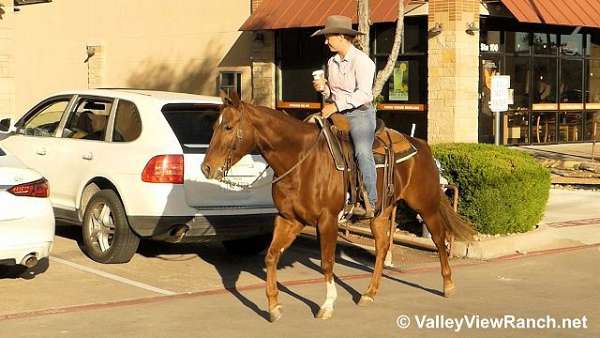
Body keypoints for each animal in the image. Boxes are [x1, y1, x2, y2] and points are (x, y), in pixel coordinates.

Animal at [202, 93, 474, 322]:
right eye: (214, 126)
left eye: (228, 127)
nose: (206, 168)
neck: (301, 159)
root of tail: (422, 145)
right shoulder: (289, 219)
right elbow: (271, 256)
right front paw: (274, 307)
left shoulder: (327, 220)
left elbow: (327, 262)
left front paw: (327, 305)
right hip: (381, 213)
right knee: (382, 247)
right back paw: (369, 292)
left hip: (425, 205)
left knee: (439, 238)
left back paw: (448, 285)